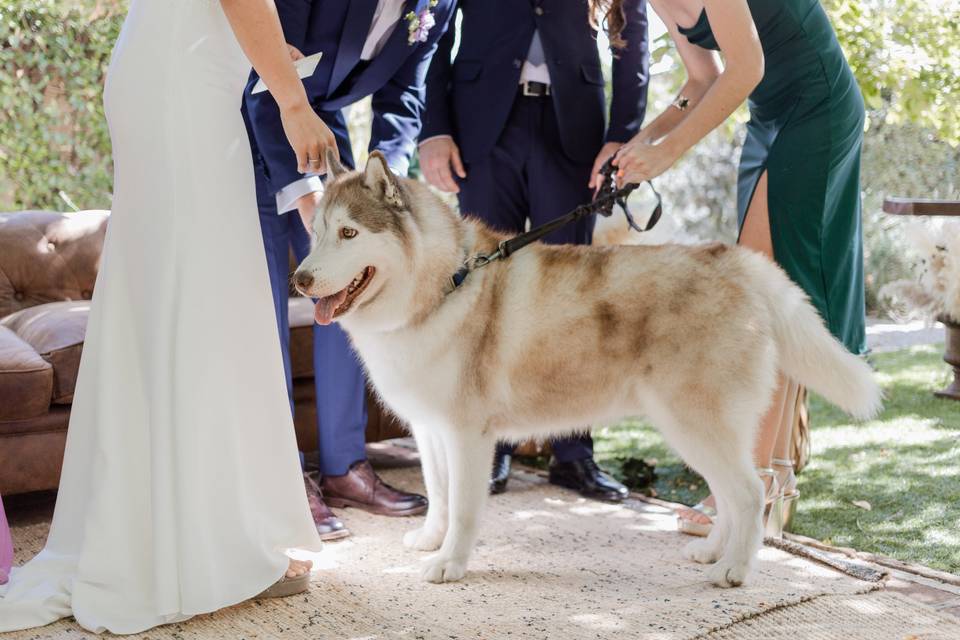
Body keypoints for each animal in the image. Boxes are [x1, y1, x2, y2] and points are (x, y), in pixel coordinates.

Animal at [296, 149, 880, 584]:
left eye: (349, 234)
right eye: (317, 232)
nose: (299, 279)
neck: (445, 286)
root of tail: (737, 262)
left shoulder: (468, 435)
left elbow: (462, 507)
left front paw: (450, 563)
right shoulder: (431, 430)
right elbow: (439, 497)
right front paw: (430, 541)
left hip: (696, 425)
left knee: (750, 493)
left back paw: (734, 570)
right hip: (691, 430)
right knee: (735, 498)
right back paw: (714, 551)